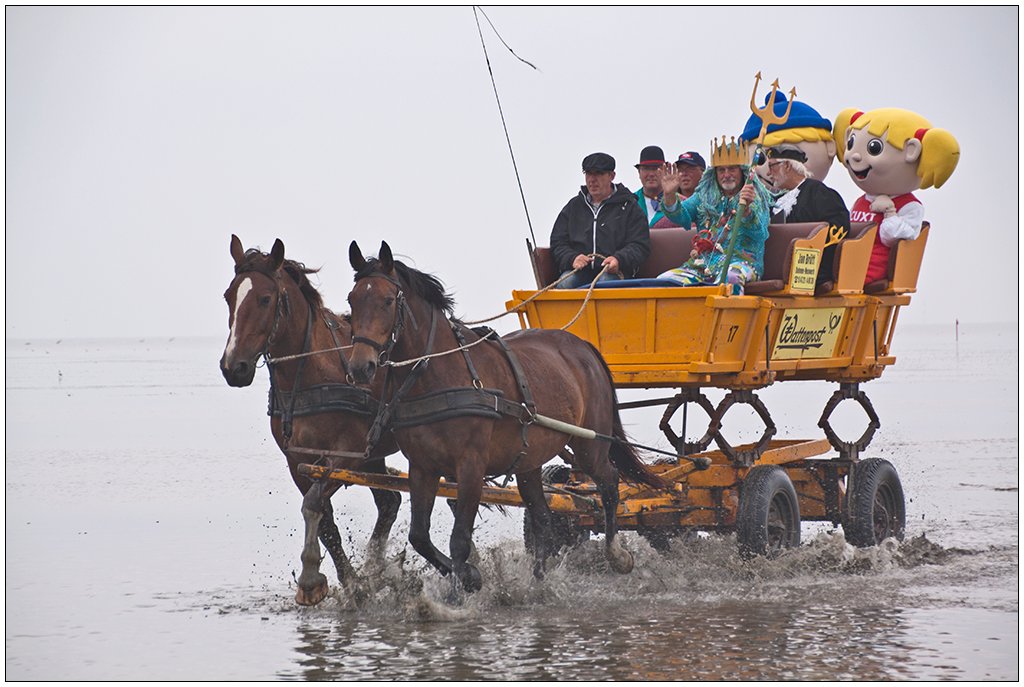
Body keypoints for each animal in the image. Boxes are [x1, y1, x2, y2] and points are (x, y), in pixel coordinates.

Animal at [219, 235, 401, 606]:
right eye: (229, 296)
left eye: (265, 298)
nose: (234, 367)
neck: (315, 369)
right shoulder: (298, 460)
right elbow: (326, 521)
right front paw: (351, 582)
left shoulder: (347, 455)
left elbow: (314, 504)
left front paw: (310, 576)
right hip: (374, 455)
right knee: (390, 502)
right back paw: (376, 568)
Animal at [345, 240, 667, 593]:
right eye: (352, 300)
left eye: (388, 301)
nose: (360, 367)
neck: (441, 376)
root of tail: (584, 346)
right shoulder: (422, 467)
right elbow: (419, 537)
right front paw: (469, 576)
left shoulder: (471, 466)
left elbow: (459, 540)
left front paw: (460, 590)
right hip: (530, 459)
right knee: (542, 516)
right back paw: (538, 580)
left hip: (589, 443)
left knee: (609, 483)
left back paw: (616, 555)